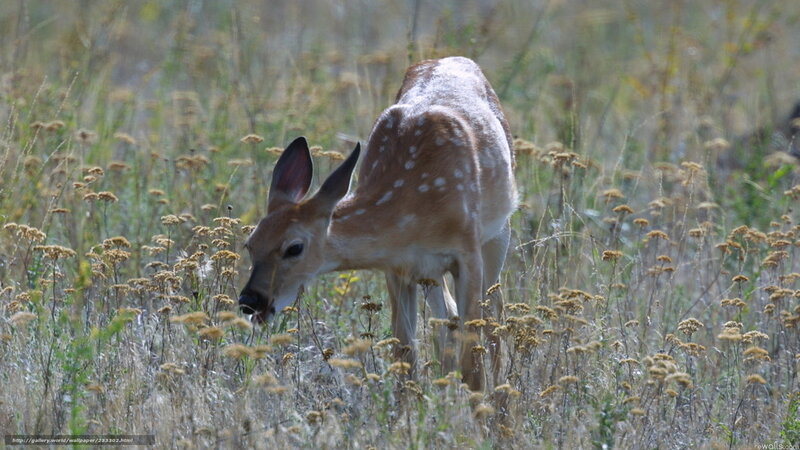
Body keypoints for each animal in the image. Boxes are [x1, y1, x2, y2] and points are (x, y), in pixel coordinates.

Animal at [238, 56, 517, 392]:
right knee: (447, 318)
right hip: (431, 273)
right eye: (250, 244)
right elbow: (406, 356)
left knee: (495, 313)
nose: (249, 300)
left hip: (498, 235)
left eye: (294, 247)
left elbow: (473, 361)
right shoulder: (398, 267)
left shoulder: (467, 252)